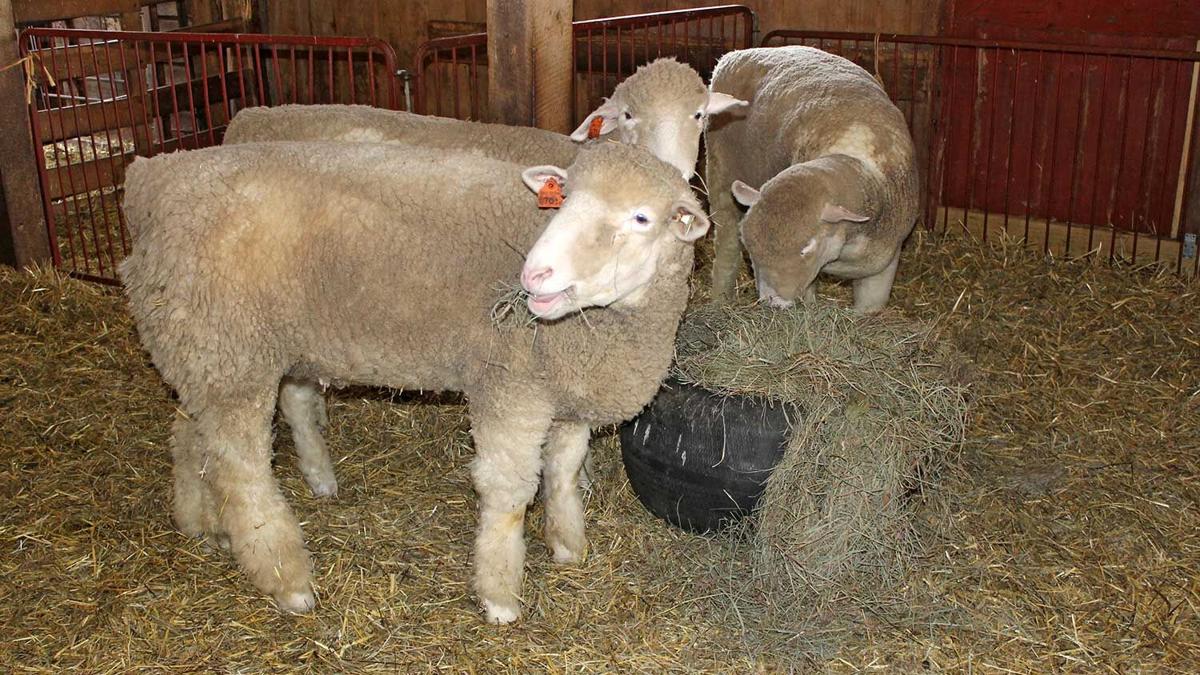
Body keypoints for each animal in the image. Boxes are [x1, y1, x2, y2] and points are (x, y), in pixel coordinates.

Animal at [119, 140, 710, 623]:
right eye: (561, 200)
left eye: (641, 217)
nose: (534, 274)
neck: (598, 330)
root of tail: (154, 178)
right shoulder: (508, 387)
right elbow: (509, 493)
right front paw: (499, 595)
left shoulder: (564, 392)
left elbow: (562, 474)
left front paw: (567, 546)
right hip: (233, 354)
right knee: (242, 474)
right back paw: (287, 581)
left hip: (203, 353)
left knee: (189, 435)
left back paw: (201, 523)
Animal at [705, 46, 919, 312]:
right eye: (750, 245)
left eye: (806, 248)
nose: (773, 302)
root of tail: (735, 54)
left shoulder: (883, 267)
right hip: (719, 171)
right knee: (726, 246)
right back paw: (719, 299)